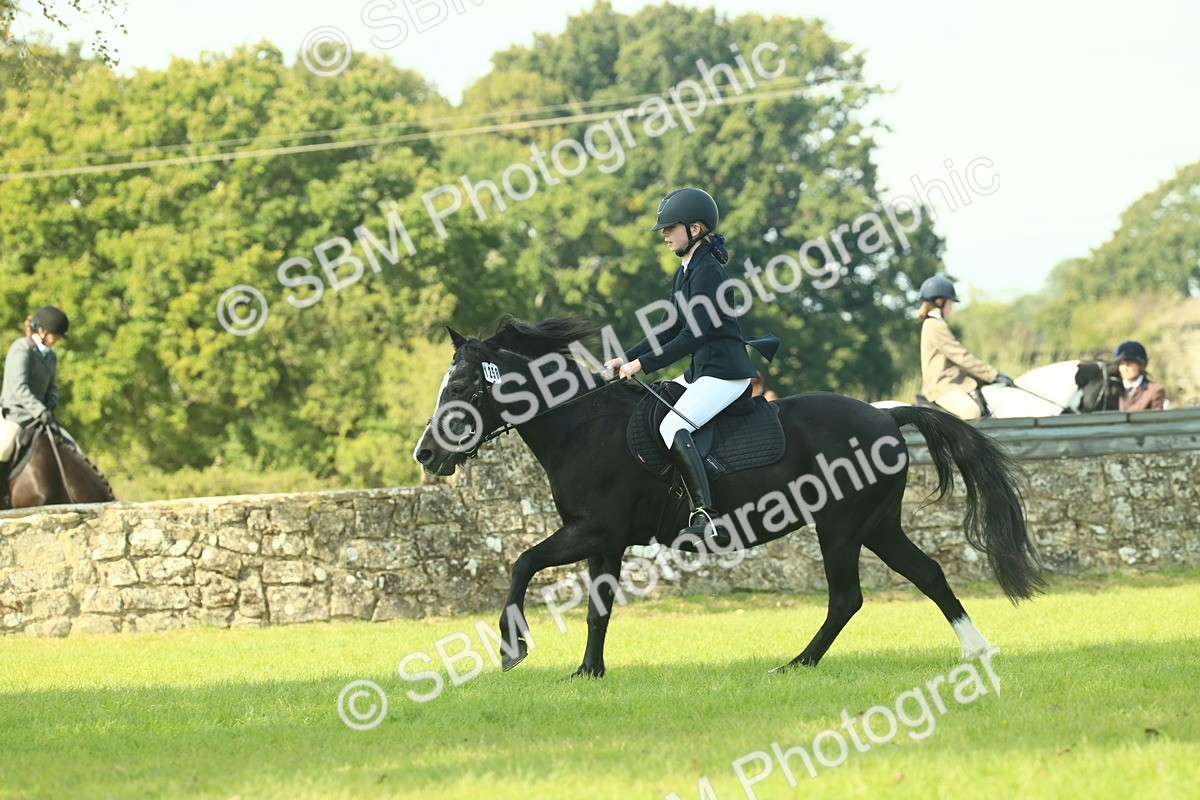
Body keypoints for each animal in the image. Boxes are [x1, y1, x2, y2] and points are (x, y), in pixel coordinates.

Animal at [413, 317, 1044, 678]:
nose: (425, 454)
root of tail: (887, 416)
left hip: (841, 527)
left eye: (463, 386)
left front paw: (511, 650)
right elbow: (597, 609)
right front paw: (588, 673)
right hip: (878, 526)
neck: (583, 427)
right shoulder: (605, 541)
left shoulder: (594, 531)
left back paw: (795, 666)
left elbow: (522, 563)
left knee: (847, 598)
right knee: (928, 574)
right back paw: (976, 652)